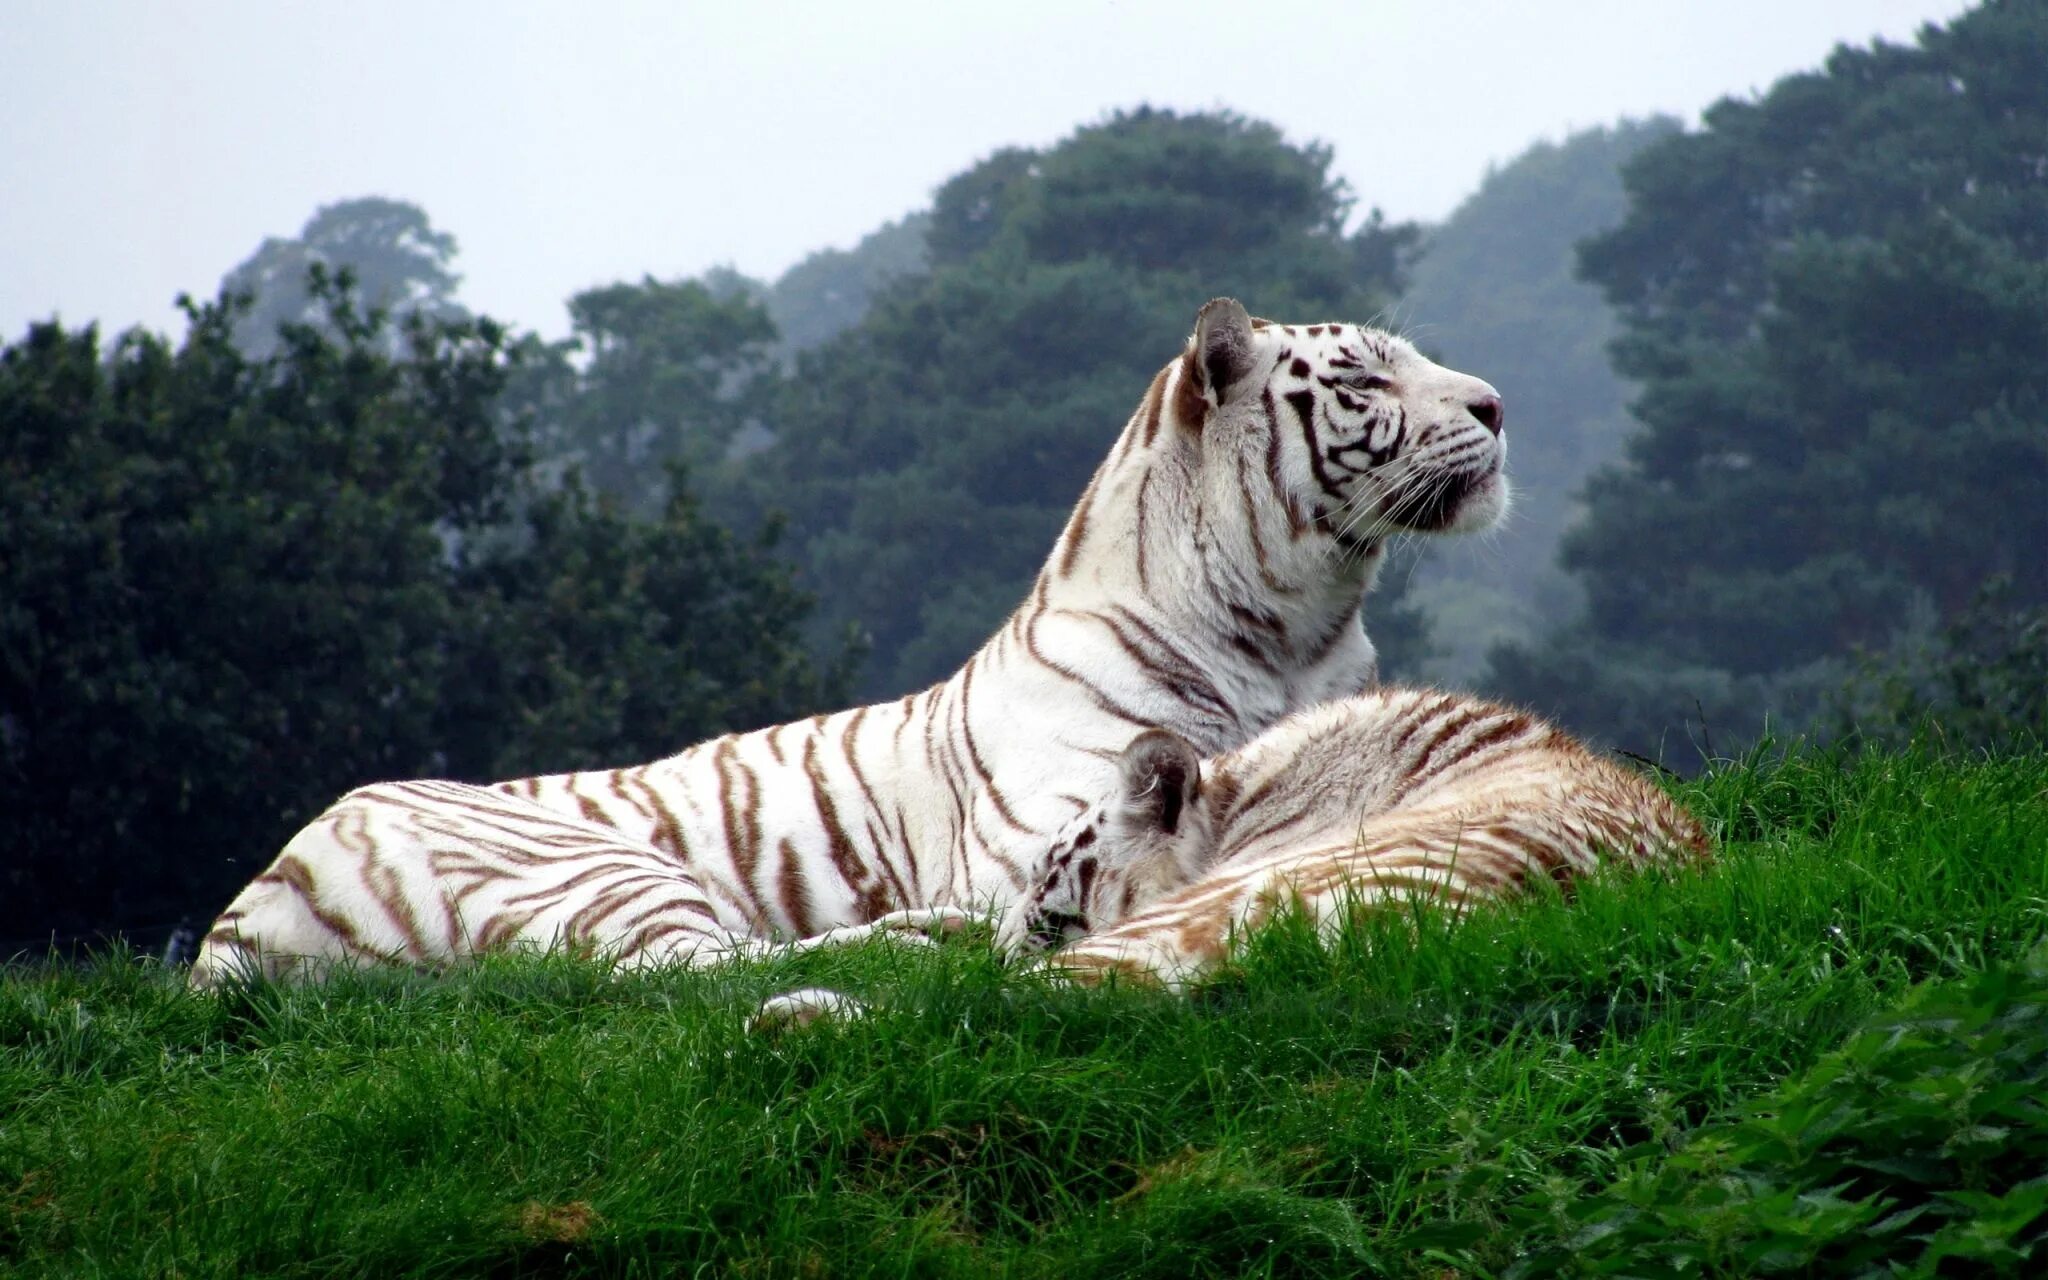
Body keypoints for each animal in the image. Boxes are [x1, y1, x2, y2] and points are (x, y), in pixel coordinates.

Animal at [192, 301, 1507, 987]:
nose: (1497, 403)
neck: (1296, 628)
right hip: (586, 863)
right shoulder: (1045, 831)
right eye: (1361, 375)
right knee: (683, 969)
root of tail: (237, 917)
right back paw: (913, 938)